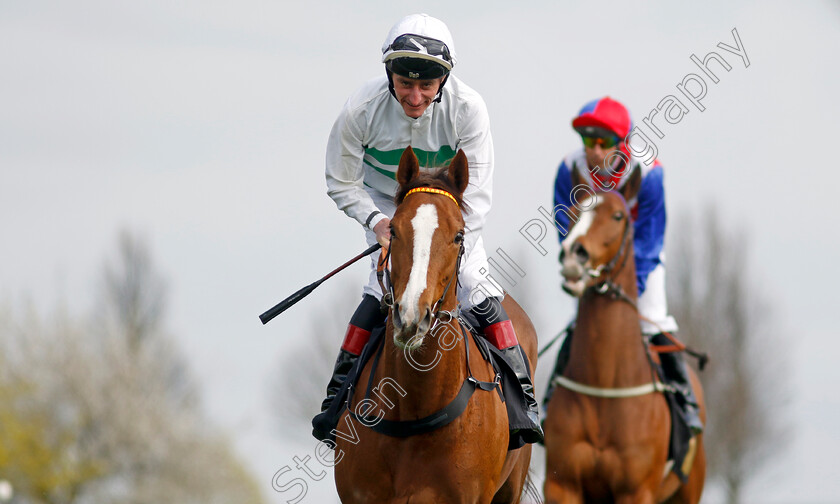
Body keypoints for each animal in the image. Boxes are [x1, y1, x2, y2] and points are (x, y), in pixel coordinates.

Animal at [540, 170, 704, 504]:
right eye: (572, 211)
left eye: (617, 215)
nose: (574, 254)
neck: (604, 386)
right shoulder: (562, 485)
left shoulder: (636, 490)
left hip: (688, 489)